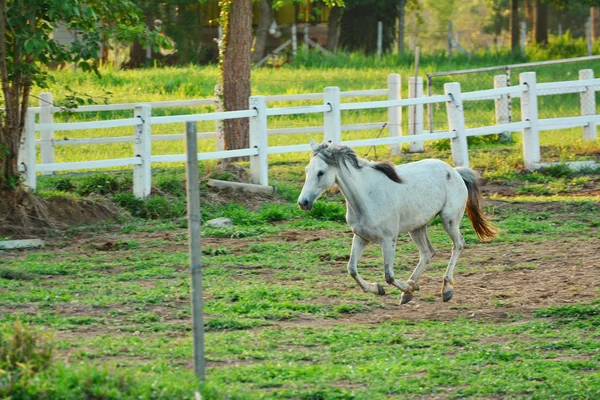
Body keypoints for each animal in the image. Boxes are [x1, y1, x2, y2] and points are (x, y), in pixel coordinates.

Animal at [296, 140, 496, 304]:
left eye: (321, 172)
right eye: (306, 170)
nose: (303, 202)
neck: (367, 196)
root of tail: (455, 171)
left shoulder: (388, 239)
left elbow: (389, 275)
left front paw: (402, 287)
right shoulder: (361, 237)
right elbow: (352, 269)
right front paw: (380, 289)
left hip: (449, 220)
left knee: (458, 244)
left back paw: (445, 289)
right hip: (417, 227)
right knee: (427, 252)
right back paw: (409, 291)